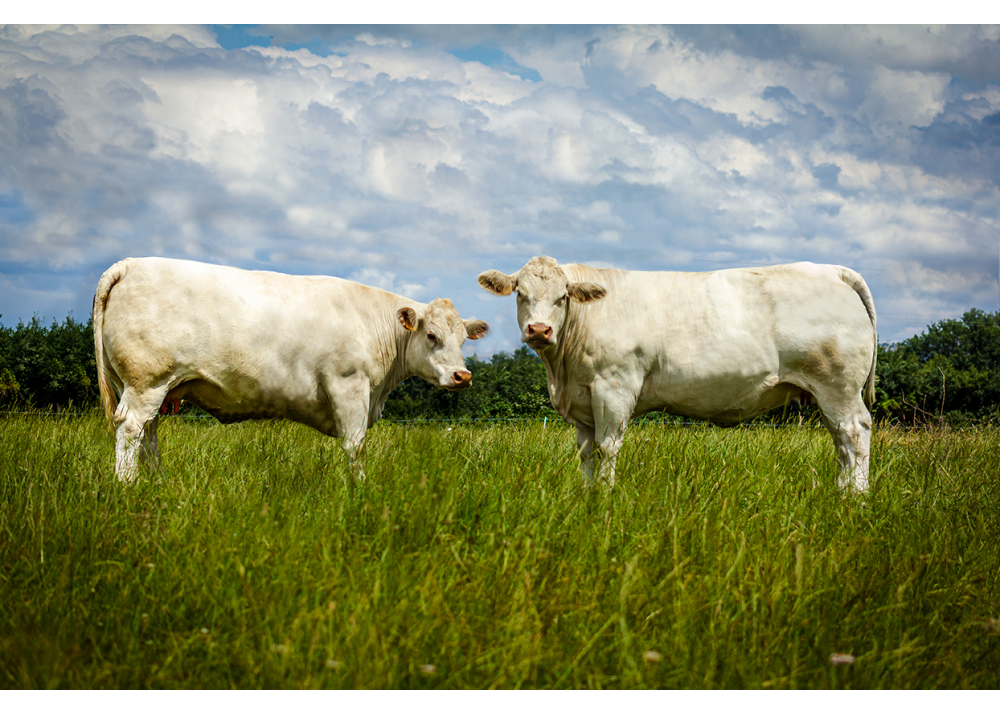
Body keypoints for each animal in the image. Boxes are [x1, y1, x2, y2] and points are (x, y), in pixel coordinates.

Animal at [94, 255, 488, 484]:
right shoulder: (348, 385)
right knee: (131, 430)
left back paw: (157, 483)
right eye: (432, 335)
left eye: (463, 340)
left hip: (149, 386)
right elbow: (355, 446)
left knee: (148, 434)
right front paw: (360, 490)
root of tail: (130, 263)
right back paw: (127, 485)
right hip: (147, 380)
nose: (463, 376)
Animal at [480, 258, 880, 492]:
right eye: (520, 293)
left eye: (563, 296)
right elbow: (586, 453)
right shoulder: (582, 400)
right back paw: (841, 492)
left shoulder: (614, 387)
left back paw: (854, 499)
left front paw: (606, 499)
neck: (561, 371)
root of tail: (832, 270)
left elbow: (608, 448)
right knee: (841, 445)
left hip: (839, 387)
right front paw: (588, 496)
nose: (539, 330)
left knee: (855, 436)